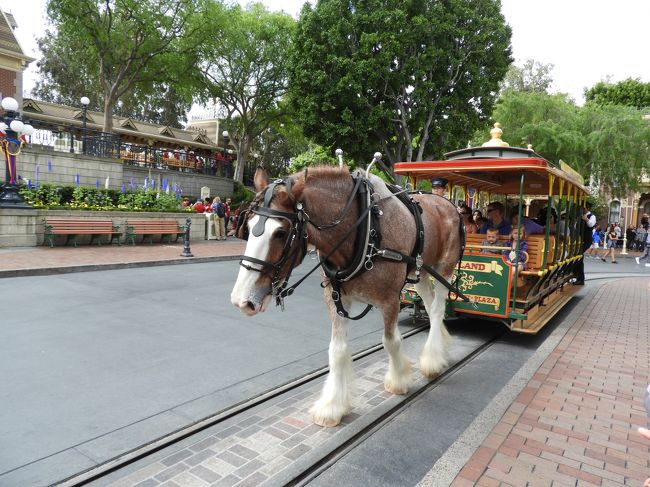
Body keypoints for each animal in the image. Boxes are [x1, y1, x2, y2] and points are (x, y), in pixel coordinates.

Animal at [230, 167, 464, 428]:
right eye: (248, 225)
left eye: (280, 233)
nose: (241, 300)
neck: (366, 231)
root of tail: (448, 204)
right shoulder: (335, 297)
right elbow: (338, 350)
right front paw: (332, 407)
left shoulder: (390, 299)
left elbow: (391, 342)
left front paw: (399, 380)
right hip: (421, 271)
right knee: (430, 304)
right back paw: (439, 348)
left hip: (444, 267)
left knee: (438, 308)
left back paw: (433, 360)